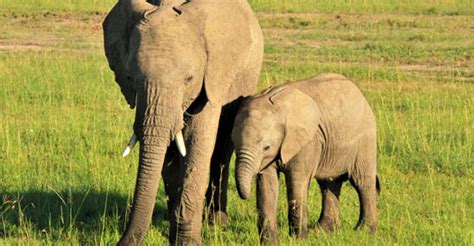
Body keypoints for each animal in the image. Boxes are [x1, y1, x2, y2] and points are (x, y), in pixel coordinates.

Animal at [102, 0, 262, 244]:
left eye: (189, 79)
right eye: (130, 78)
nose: (122, 241)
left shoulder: (210, 79)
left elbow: (198, 143)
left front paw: (186, 240)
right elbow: (168, 155)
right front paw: (173, 232)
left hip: (244, 77)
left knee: (222, 148)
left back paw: (216, 222)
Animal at [231, 72, 380, 242]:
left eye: (266, 147)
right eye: (233, 144)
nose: (244, 197)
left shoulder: (307, 141)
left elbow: (297, 181)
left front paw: (298, 240)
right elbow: (267, 184)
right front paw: (270, 242)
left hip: (365, 137)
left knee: (362, 182)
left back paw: (364, 232)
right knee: (328, 183)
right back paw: (322, 231)